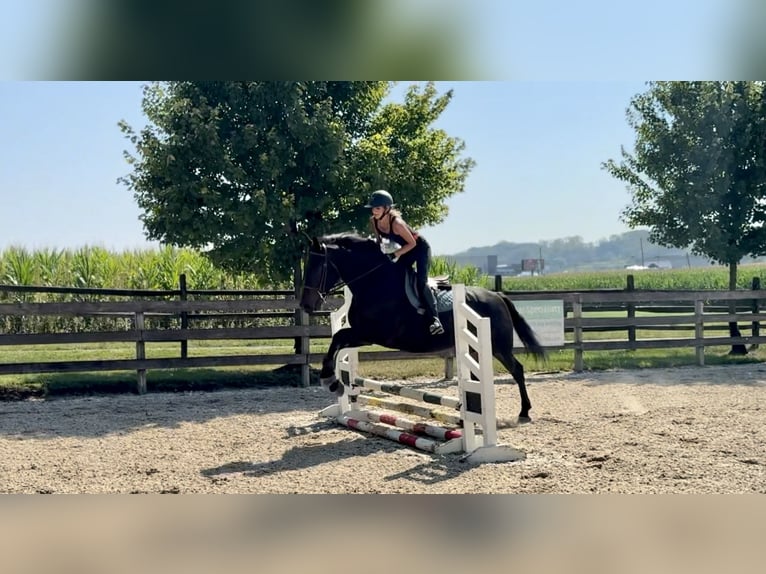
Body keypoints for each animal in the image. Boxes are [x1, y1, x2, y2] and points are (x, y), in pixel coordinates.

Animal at [300, 232, 547, 421]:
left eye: (316, 266)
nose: (305, 305)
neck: (374, 283)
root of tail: (496, 296)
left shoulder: (372, 334)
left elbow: (338, 338)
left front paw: (331, 381)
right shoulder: (363, 335)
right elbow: (338, 340)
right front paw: (333, 381)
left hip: (498, 346)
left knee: (517, 370)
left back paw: (524, 412)